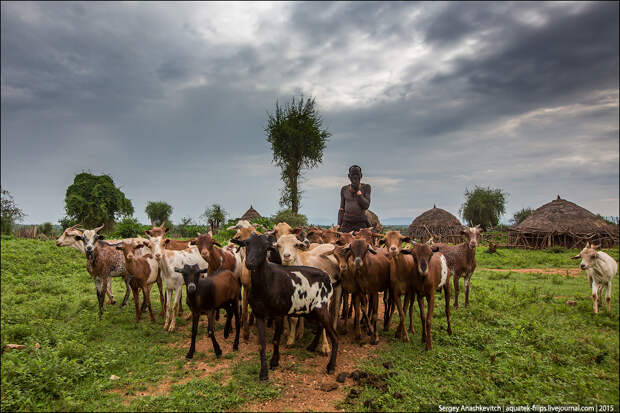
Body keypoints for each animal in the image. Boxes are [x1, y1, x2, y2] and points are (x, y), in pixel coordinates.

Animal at [229, 232, 336, 380]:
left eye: (265, 248)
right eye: (246, 244)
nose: (249, 263)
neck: (267, 281)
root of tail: (326, 275)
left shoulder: (278, 314)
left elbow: (275, 340)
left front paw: (274, 361)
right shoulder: (259, 314)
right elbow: (262, 344)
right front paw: (263, 373)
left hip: (323, 307)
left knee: (334, 336)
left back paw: (330, 366)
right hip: (313, 308)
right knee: (320, 326)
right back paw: (312, 347)